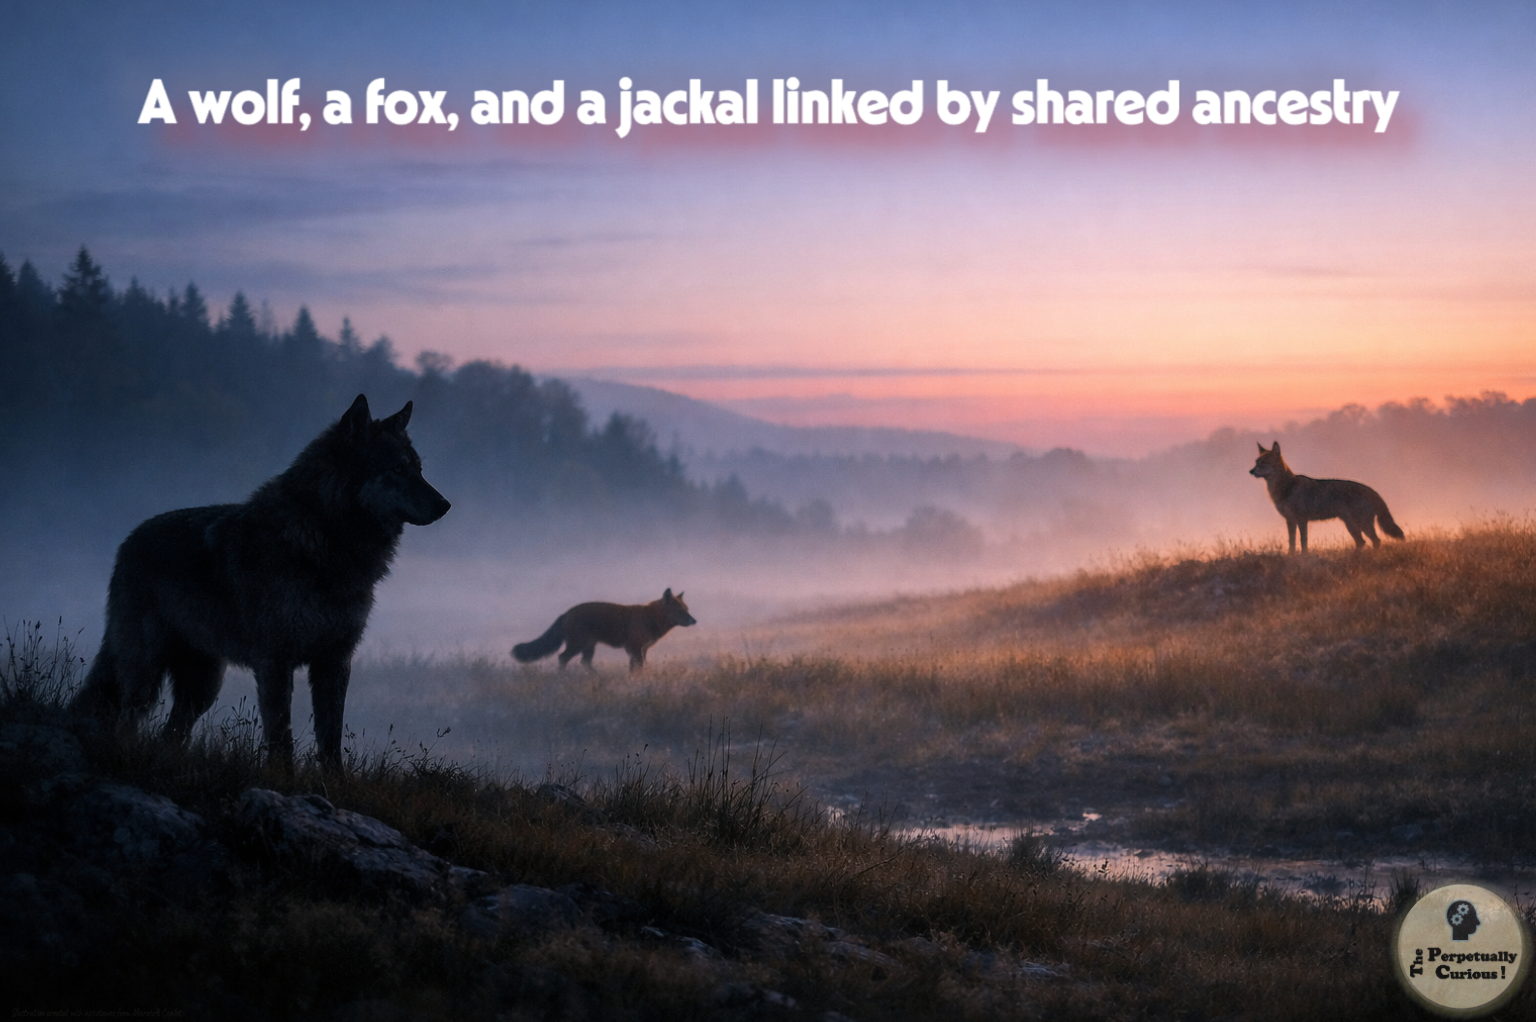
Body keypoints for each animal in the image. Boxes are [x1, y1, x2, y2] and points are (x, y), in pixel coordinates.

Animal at [70, 394, 451, 770]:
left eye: (419, 470)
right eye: (397, 470)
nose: (445, 505)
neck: (325, 540)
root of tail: (130, 538)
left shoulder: (335, 661)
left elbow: (330, 741)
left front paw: (332, 783)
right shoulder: (275, 662)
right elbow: (281, 737)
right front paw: (283, 778)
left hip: (202, 686)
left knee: (171, 734)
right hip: (147, 673)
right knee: (127, 720)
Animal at [513, 589, 696, 672]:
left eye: (687, 610)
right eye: (680, 612)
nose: (694, 621)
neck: (650, 618)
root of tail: (566, 613)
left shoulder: (641, 649)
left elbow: (637, 668)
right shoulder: (634, 648)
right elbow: (637, 668)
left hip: (589, 647)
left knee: (584, 663)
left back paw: (596, 676)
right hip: (578, 645)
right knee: (562, 657)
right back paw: (562, 676)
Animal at [1249, 441, 1404, 553]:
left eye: (1263, 463)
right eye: (1256, 462)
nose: (1251, 471)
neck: (1286, 488)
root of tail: (1372, 490)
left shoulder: (1302, 520)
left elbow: (1303, 542)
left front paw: (1304, 557)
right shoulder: (1290, 521)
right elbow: (1292, 543)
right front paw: (1291, 557)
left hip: (1361, 524)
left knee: (1375, 540)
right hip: (1351, 525)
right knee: (1362, 542)